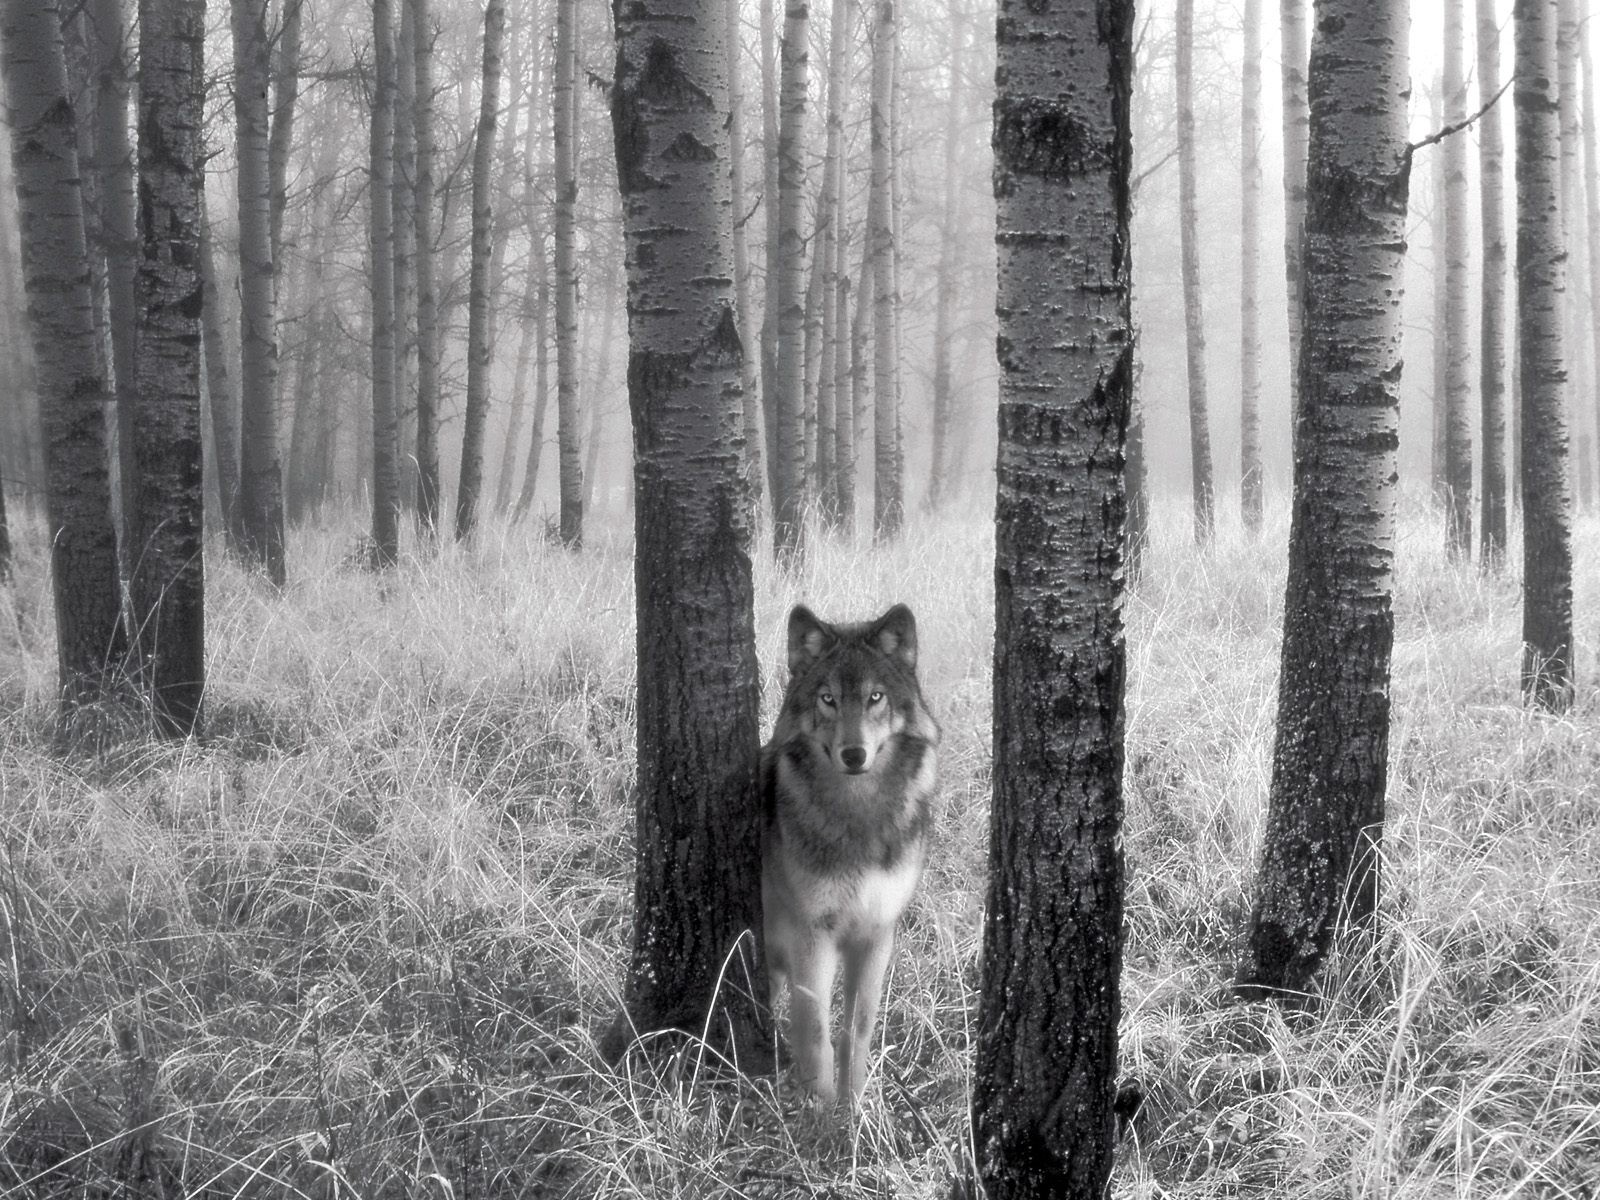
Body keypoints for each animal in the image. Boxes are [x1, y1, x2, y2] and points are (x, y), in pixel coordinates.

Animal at [761, 602, 940, 1106]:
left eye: (875, 697)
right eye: (828, 699)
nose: (854, 754)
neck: (859, 814)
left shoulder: (877, 933)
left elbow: (857, 1030)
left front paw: (855, 1105)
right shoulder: (812, 934)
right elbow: (816, 1031)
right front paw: (820, 1112)